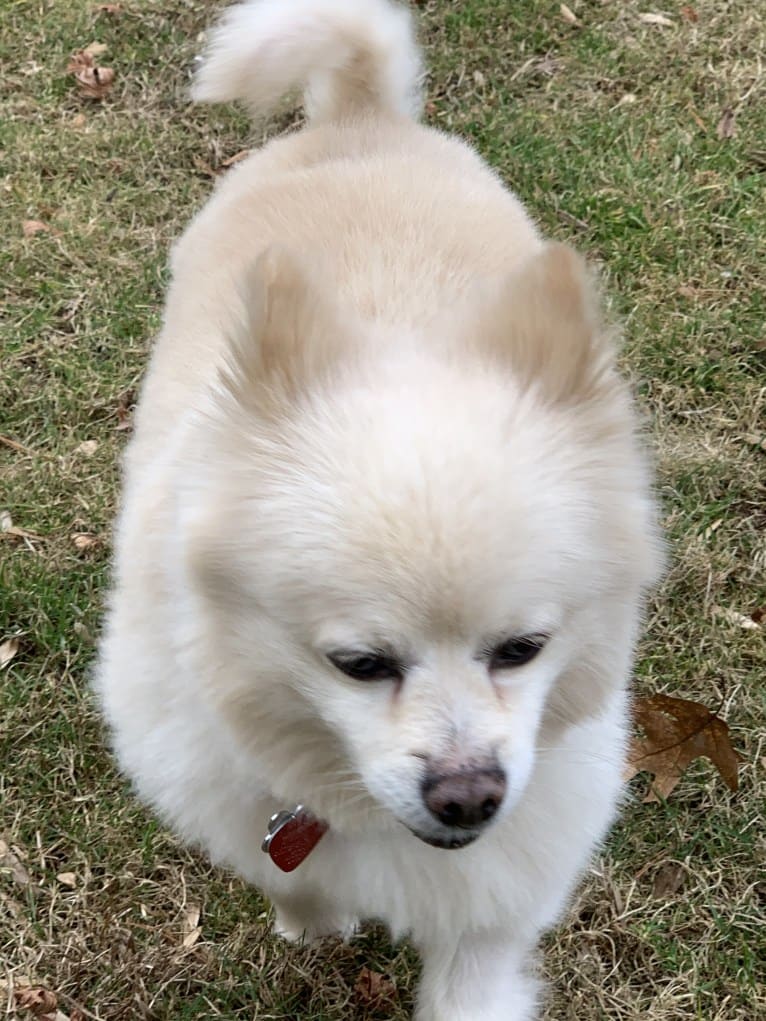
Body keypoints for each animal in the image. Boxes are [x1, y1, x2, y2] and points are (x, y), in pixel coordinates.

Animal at [94, 3, 661, 1016]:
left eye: (523, 649)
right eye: (360, 665)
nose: (469, 794)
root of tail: (359, 115)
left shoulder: (495, 902)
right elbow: (288, 873)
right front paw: (312, 922)